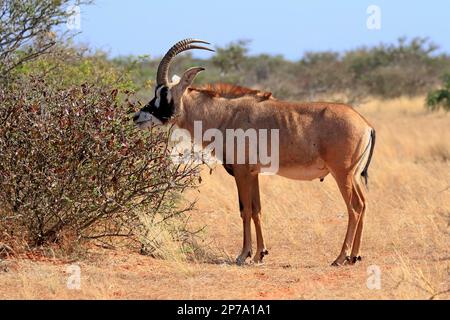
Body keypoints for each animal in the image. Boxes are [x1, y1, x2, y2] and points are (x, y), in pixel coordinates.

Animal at [134, 39, 376, 264]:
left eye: (164, 93)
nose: (138, 117)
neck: (226, 114)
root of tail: (366, 124)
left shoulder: (241, 173)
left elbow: (245, 210)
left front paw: (244, 254)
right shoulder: (254, 174)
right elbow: (257, 209)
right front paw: (260, 253)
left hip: (342, 174)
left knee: (354, 208)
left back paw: (340, 258)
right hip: (353, 176)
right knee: (363, 204)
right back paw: (354, 256)